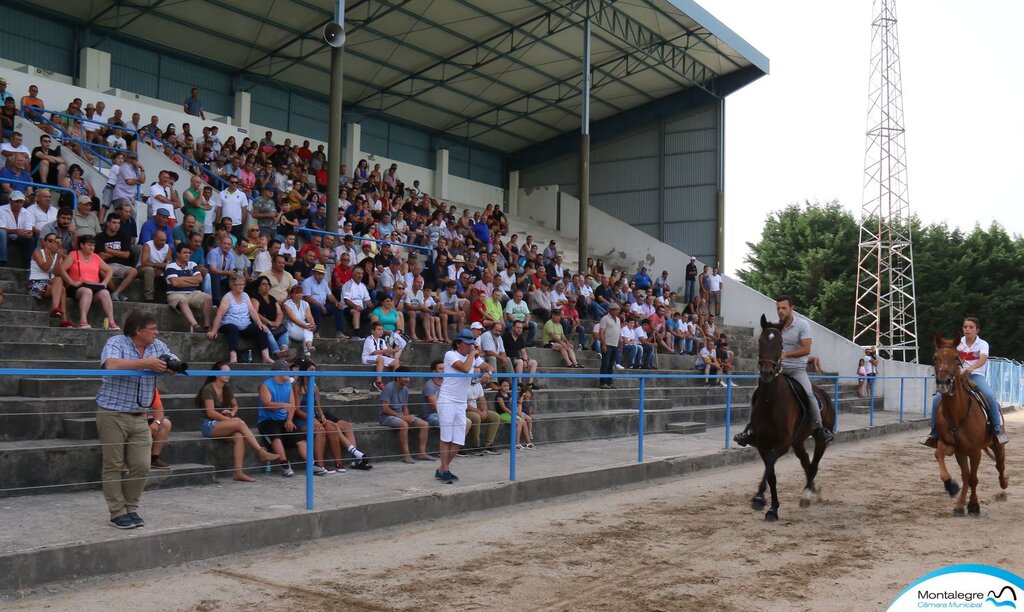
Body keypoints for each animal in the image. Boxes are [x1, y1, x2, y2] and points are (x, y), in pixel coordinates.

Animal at [749, 317, 835, 521]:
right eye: (760, 341)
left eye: (781, 343)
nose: (767, 371)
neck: (770, 400)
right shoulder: (762, 443)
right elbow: (771, 474)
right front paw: (772, 508)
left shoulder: (783, 443)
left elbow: (770, 464)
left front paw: (759, 498)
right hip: (798, 441)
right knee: (806, 461)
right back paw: (813, 488)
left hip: (820, 440)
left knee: (814, 464)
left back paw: (807, 495)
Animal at [929, 333, 1007, 515]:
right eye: (935, 357)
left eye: (956, 358)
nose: (943, 382)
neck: (957, 414)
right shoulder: (953, 446)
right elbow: (939, 455)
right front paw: (951, 486)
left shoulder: (975, 451)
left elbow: (974, 478)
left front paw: (973, 505)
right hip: (962, 452)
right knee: (966, 475)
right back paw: (959, 504)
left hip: (997, 445)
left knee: (999, 465)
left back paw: (1004, 484)